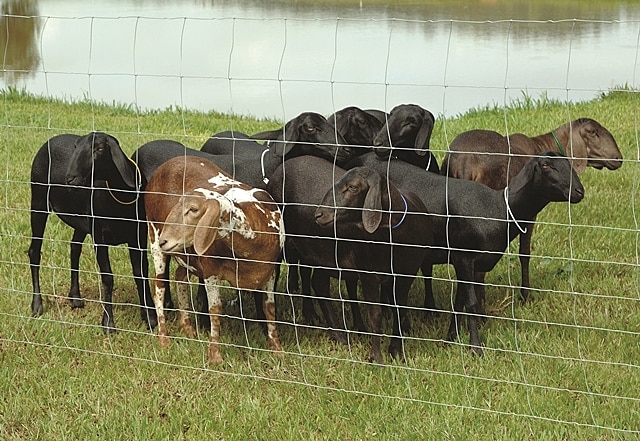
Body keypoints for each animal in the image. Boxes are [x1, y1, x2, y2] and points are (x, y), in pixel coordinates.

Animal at [27, 132, 158, 332]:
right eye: (76, 147)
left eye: (99, 149)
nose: (70, 178)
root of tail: (50, 140)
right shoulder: (99, 235)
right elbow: (107, 277)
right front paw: (108, 323)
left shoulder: (138, 235)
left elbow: (141, 271)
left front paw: (149, 317)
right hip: (39, 201)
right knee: (34, 251)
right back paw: (37, 305)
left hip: (80, 219)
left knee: (74, 248)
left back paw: (75, 297)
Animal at [146, 156, 286, 362]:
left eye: (193, 209)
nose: (165, 239)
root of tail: (172, 161)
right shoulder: (210, 269)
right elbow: (215, 310)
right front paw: (214, 356)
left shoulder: (271, 271)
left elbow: (269, 308)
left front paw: (276, 348)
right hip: (154, 238)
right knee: (159, 287)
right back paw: (163, 338)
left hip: (185, 253)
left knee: (180, 277)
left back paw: (187, 327)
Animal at [264, 155, 430, 360]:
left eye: (353, 187)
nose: (319, 214)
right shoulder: (368, 274)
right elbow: (375, 314)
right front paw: (377, 358)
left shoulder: (406, 276)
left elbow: (400, 311)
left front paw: (396, 353)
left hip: (321, 252)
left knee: (317, 282)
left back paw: (327, 326)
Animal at [344, 150, 584, 354]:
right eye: (545, 165)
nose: (579, 192)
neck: (498, 210)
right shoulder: (465, 257)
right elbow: (471, 303)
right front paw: (475, 348)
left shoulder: (464, 263)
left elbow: (459, 303)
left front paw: (452, 337)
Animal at [440, 118, 620, 300]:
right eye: (592, 132)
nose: (618, 158)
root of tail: (463, 164)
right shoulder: (528, 214)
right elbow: (524, 253)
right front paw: (526, 295)